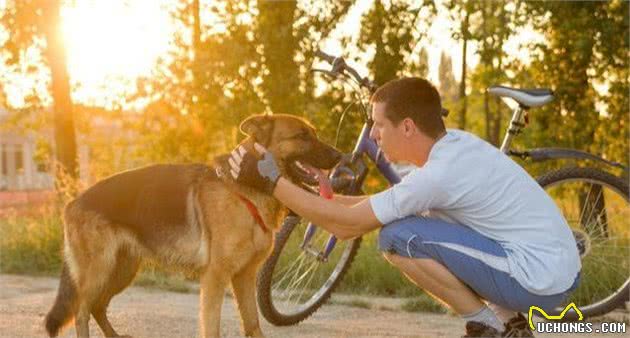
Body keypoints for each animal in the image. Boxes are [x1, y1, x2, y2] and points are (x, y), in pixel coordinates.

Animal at [45, 115, 344, 336]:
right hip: (100, 271)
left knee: (97, 307)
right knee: (81, 312)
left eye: (313, 133)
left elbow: (253, 324)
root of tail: (73, 201)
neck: (245, 192)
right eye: (302, 136)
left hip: (122, 270)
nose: (340, 156)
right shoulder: (215, 278)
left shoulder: (244, 277)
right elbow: (212, 328)